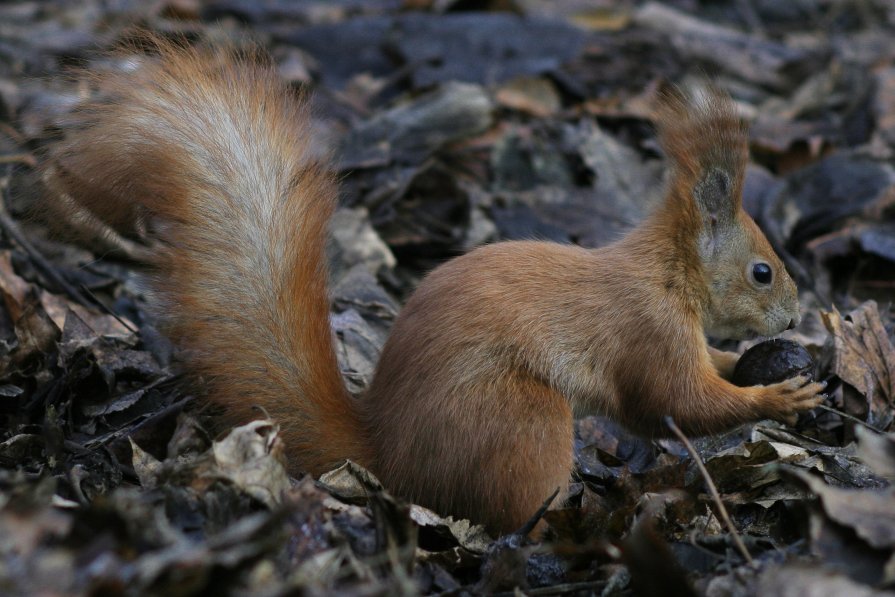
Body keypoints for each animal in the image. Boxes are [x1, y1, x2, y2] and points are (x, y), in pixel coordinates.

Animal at [42, 43, 824, 536]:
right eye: (762, 271)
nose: (796, 314)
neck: (670, 271)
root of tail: (387, 452)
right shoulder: (650, 328)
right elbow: (676, 403)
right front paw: (779, 396)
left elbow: (700, 379)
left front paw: (757, 362)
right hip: (522, 421)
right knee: (508, 510)